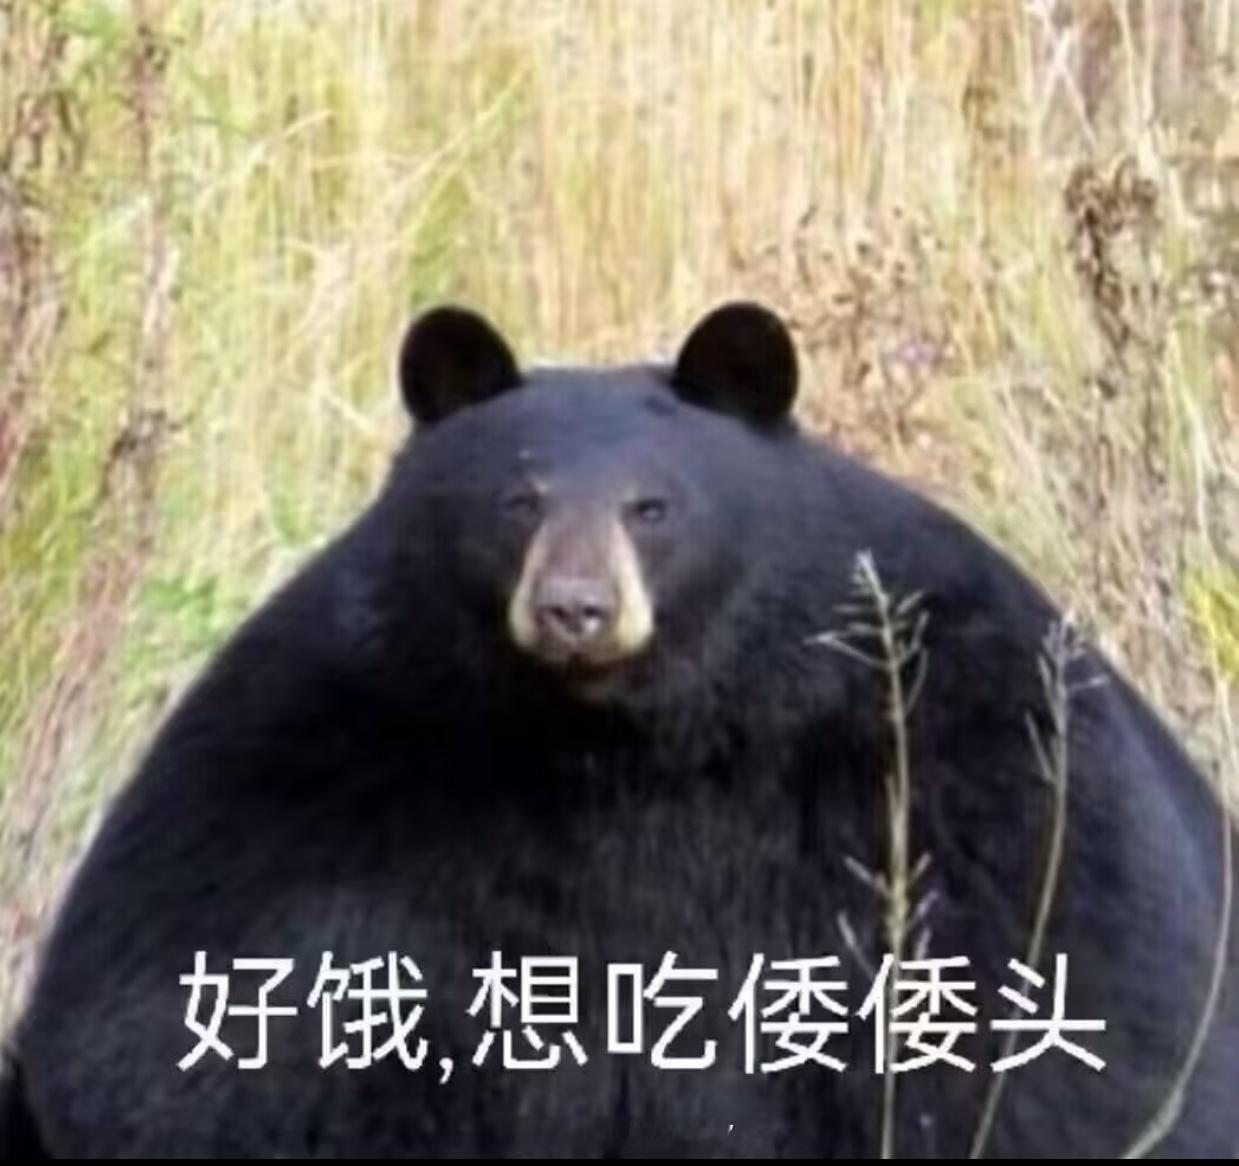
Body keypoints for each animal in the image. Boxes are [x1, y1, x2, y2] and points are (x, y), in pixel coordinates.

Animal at [1, 301, 1236, 1158]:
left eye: (653, 506)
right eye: (518, 501)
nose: (575, 609)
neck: (626, 741)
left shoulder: (952, 742)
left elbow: (1061, 1003)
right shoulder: (322, 760)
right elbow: (196, 1030)